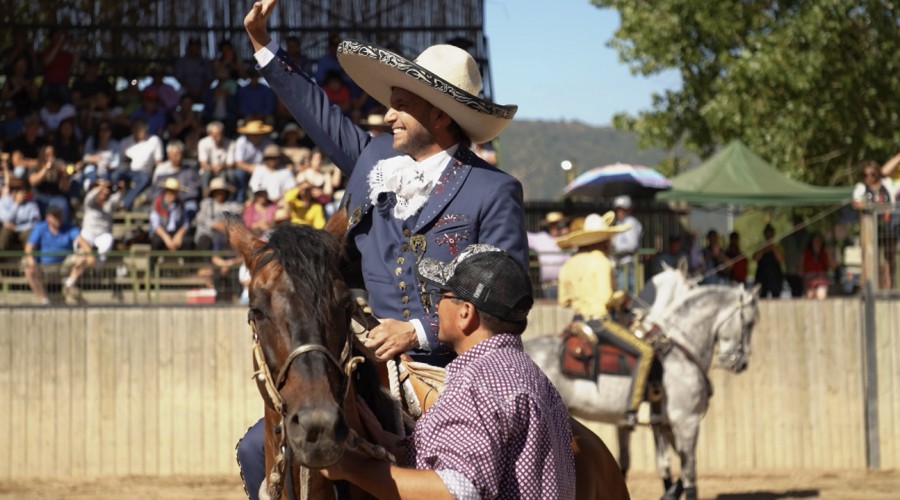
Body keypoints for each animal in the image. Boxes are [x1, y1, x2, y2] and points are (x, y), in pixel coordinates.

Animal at [528, 284, 760, 500]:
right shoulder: (687, 421)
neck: (680, 353)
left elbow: (670, 463)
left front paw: (669, 493)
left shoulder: (666, 424)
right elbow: (689, 469)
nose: (741, 363)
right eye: (749, 323)